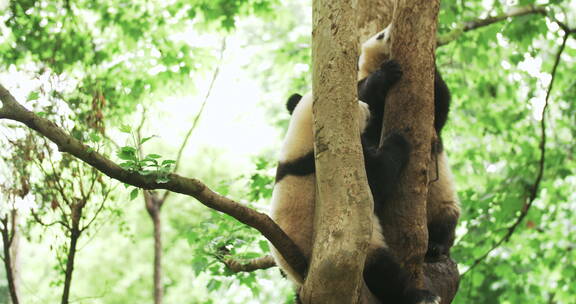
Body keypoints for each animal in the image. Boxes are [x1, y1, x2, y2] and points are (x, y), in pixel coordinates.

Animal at [270, 25, 450, 302]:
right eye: (355, 102)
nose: (366, 107)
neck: (302, 136)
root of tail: (300, 275)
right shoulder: (338, 163)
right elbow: (377, 181)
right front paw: (398, 140)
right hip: (358, 253)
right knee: (381, 269)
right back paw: (418, 294)